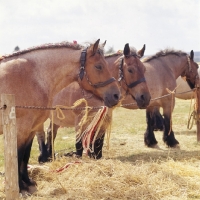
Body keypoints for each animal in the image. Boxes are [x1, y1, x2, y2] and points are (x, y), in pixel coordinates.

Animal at [0, 38, 120, 194]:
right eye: (98, 66)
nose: (116, 95)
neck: (33, 78)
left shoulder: (31, 129)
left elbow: (25, 156)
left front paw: (28, 183)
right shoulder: (21, 129)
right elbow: (18, 156)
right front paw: (20, 188)